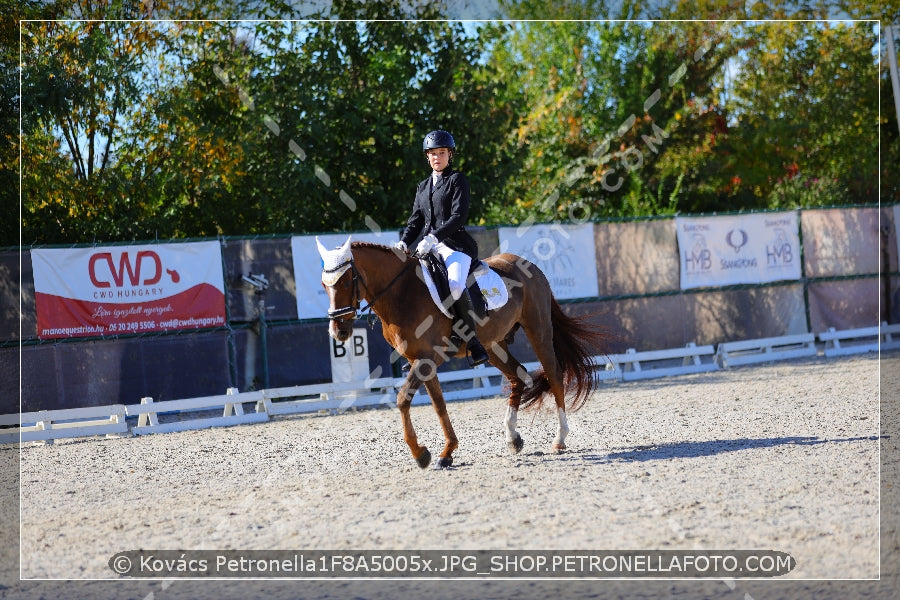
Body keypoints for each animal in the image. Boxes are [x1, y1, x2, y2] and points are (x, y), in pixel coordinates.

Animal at [312, 237, 608, 472]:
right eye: (324, 285)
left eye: (347, 281)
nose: (338, 332)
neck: (401, 293)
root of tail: (529, 265)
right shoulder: (421, 361)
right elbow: (439, 405)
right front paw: (445, 453)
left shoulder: (427, 359)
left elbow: (402, 399)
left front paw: (421, 454)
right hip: (493, 346)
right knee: (519, 377)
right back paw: (513, 437)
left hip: (539, 331)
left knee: (554, 375)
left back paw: (560, 439)